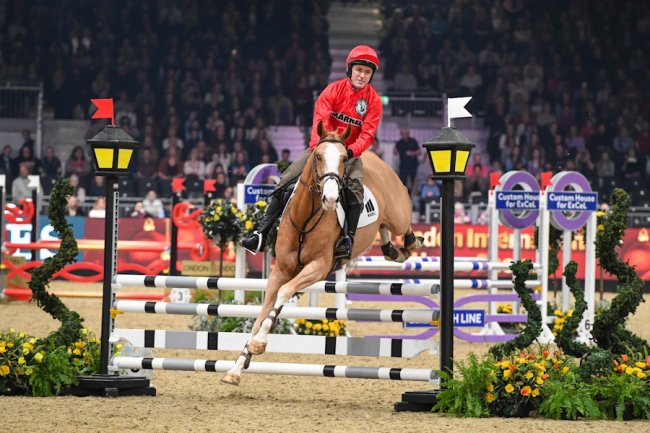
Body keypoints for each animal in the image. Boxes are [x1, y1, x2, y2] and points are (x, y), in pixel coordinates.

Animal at [221, 121, 423, 385]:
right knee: (383, 228)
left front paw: (259, 343)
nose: (330, 199)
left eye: (344, 158)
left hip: (399, 215)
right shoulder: (281, 270)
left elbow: (284, 294)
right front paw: (236, 368)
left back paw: (409, 243)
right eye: (318, 156)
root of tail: (377, 160)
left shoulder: (317, 268)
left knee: (403, 228)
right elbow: (262, 313)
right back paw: (391, 250)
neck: (305, 218)